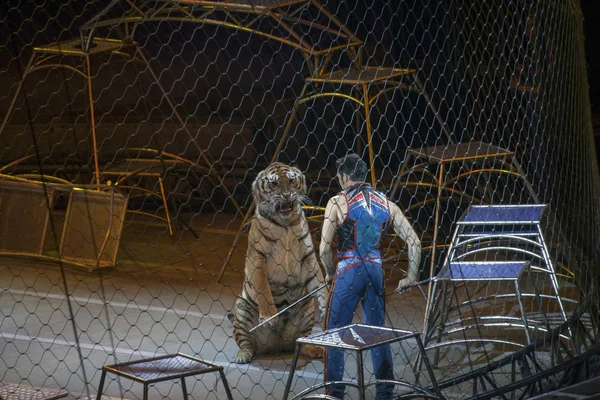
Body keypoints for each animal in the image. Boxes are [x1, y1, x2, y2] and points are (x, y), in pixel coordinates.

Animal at [232, 161, 330, 364]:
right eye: (274, 184)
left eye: (292, 181)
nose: (286, 195)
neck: (285, 224)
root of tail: (274, 346)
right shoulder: (257, 258)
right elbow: (263, 289)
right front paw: (269, 317)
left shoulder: (308, 257)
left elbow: (320, 283)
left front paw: (326, 305)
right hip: (241, 309)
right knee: (246, 343)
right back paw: (243, 356)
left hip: (308, 309)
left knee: (300, 342)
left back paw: (315, 349)